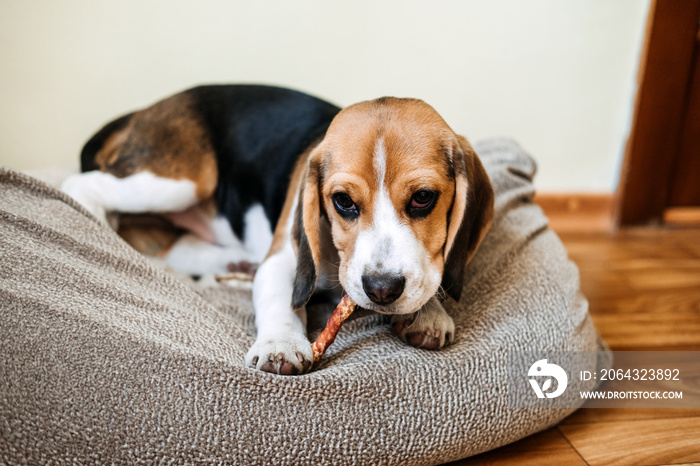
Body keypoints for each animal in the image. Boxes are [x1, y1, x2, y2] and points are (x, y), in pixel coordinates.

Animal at [63, 83, 494, 374]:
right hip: (179, 181)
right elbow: (280, 299)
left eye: (423, 198)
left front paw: (428, 312)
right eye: (343, 201)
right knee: (85, 190)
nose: (382, 289)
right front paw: (281, 344)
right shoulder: (284, 259)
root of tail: (145, 110)